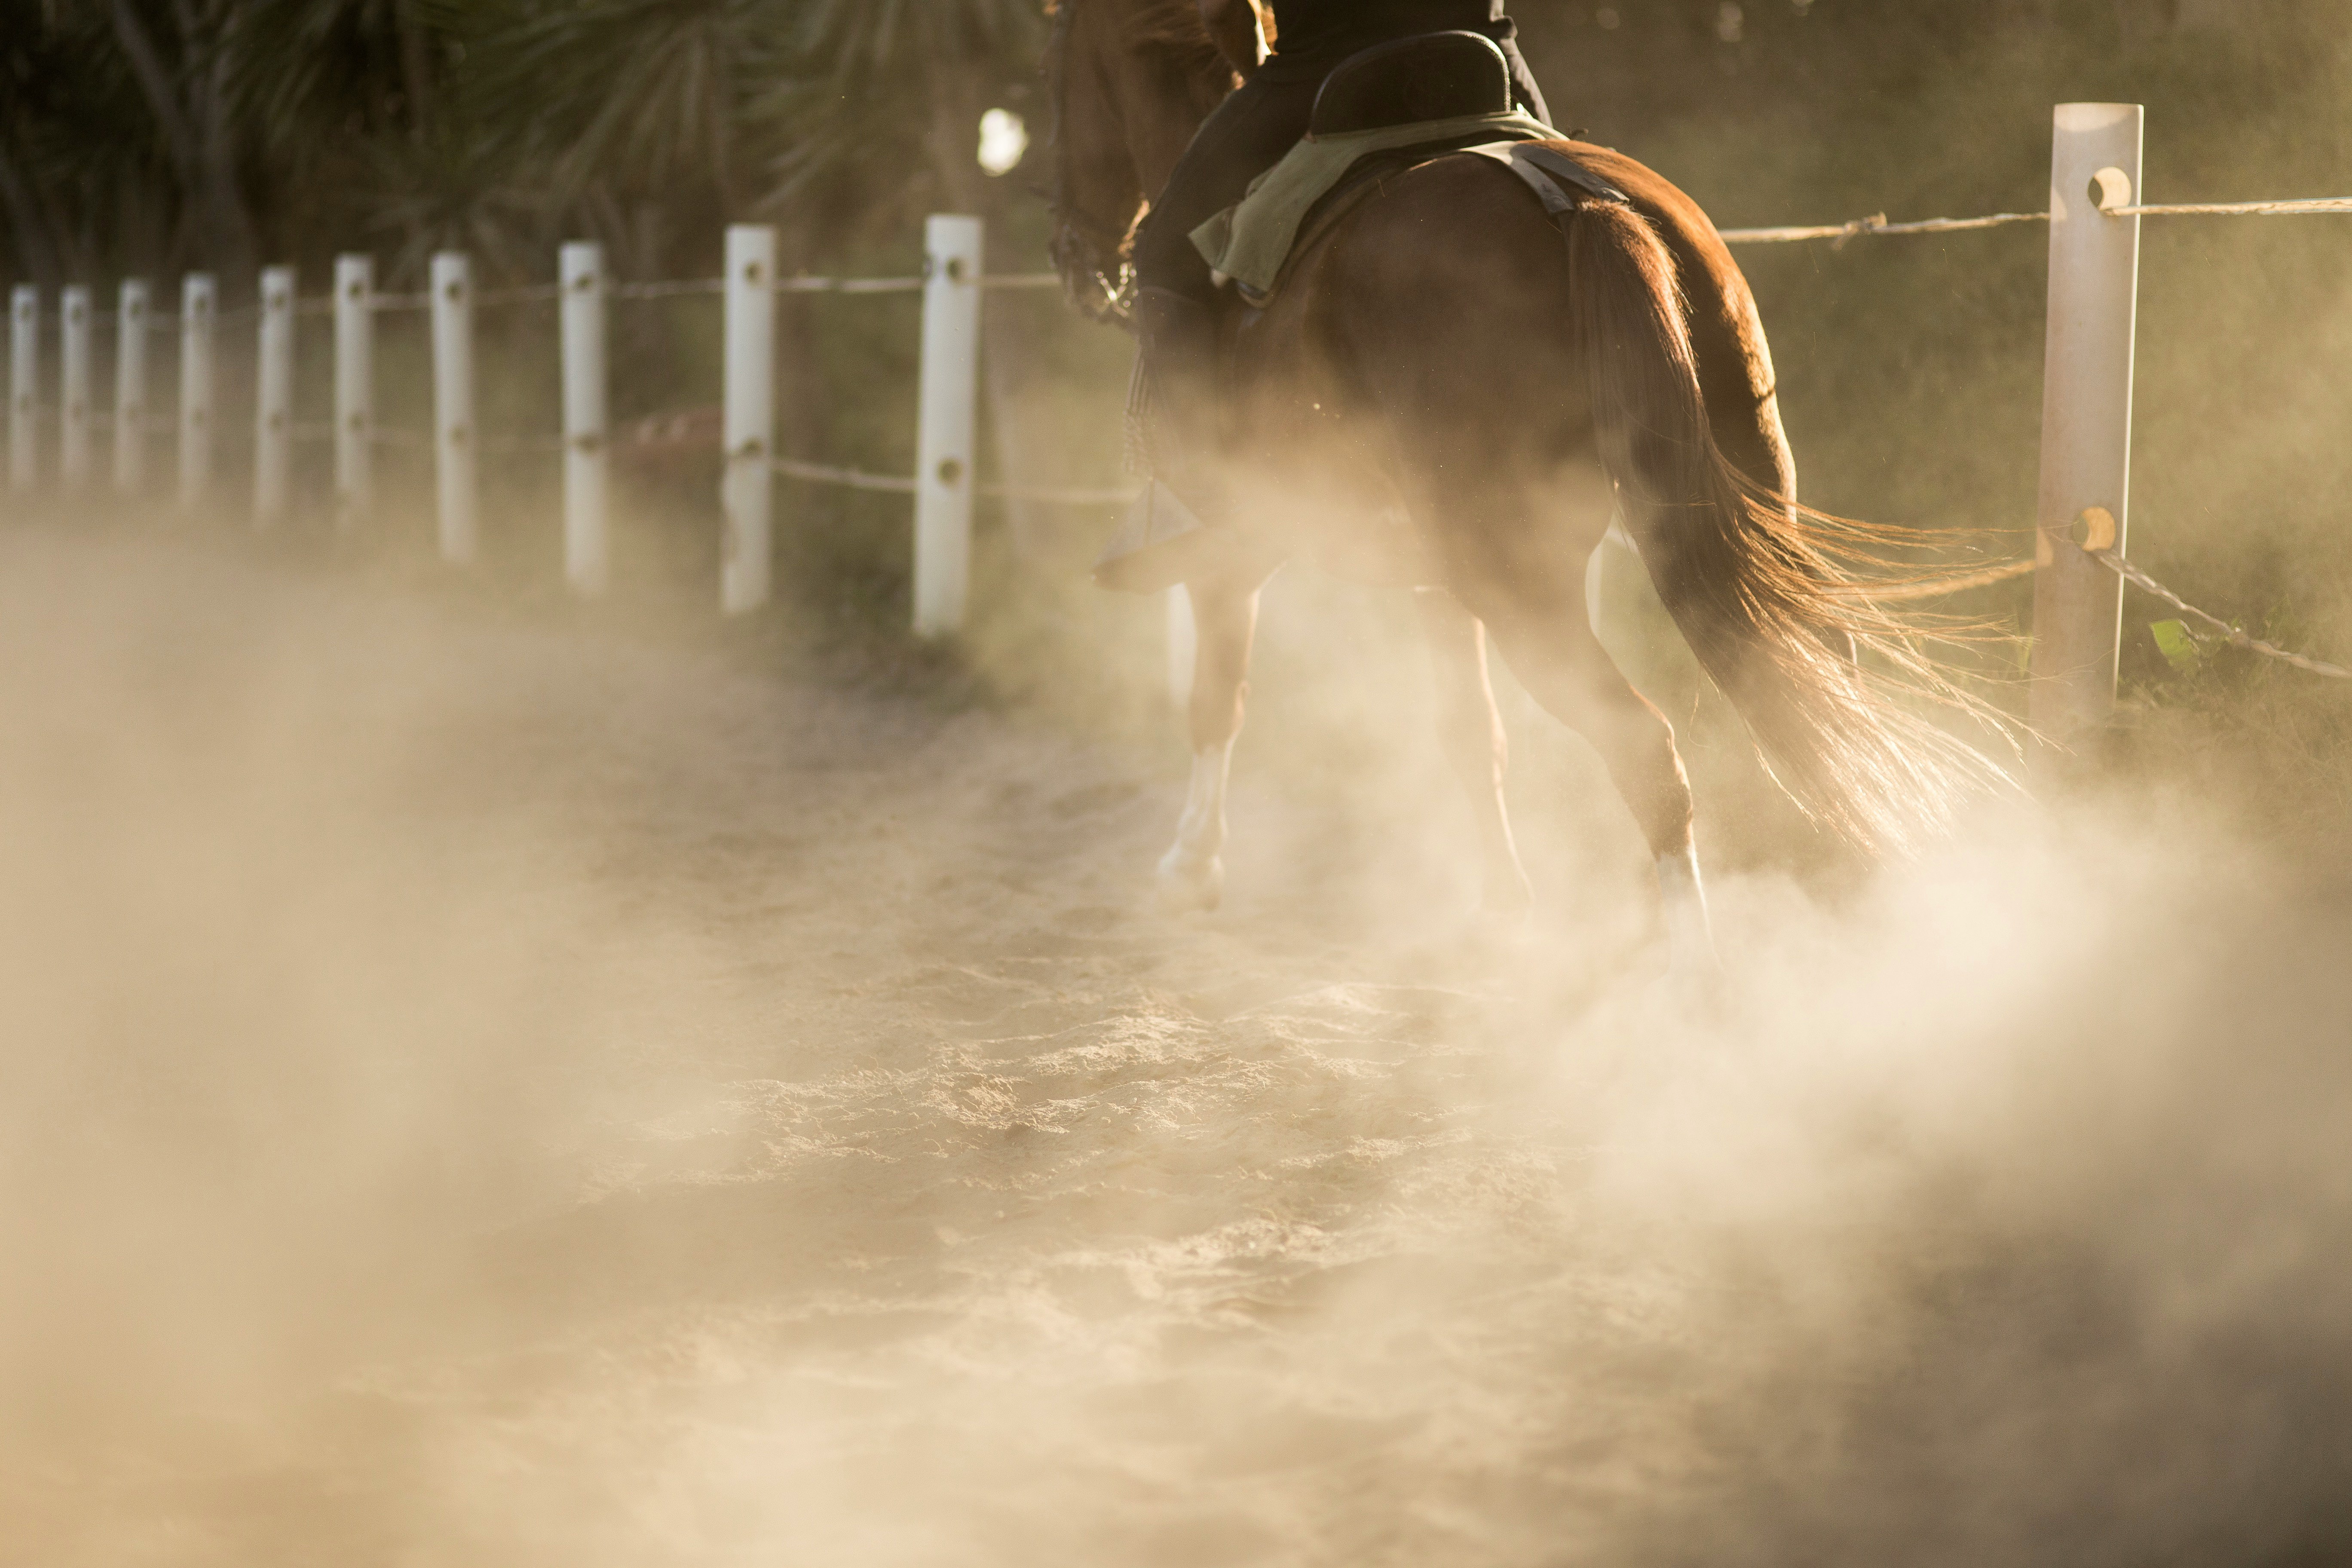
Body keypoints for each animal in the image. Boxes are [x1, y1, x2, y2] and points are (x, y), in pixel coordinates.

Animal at [1049, 0, 2004, 983]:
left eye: (1058, 69)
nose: (1074, 253)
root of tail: (1577, 201)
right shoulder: (1434, 578)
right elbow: (1471, 731)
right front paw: (1503, 906)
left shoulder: (1237, 552)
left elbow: (1218, 696)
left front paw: (1190, 865)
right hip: (1729, 506)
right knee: (1813, 687)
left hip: (1518, 581)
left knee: (1644, 747)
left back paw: (1700, 973)